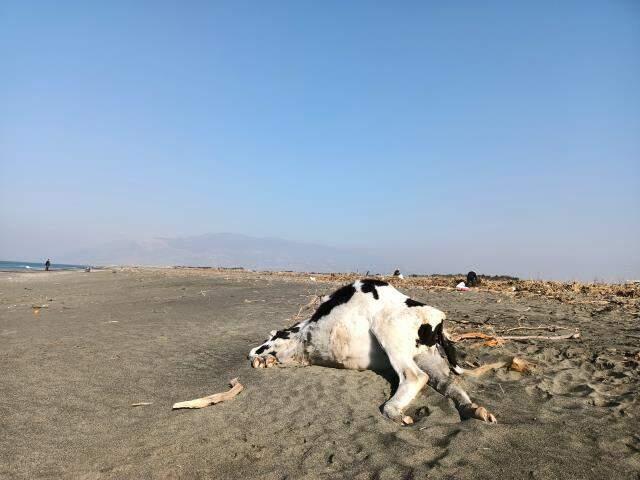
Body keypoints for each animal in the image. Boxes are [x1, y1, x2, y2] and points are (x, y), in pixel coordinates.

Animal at [249, 282, 496, 424]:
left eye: (265, 340)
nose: (251, 353)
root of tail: (438, 319)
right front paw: (266, 361)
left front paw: (264, 358)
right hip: (427, 357)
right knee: (449, 383)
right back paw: (474, 411)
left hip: (387, 332)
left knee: (415, 376)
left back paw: (394, 411)